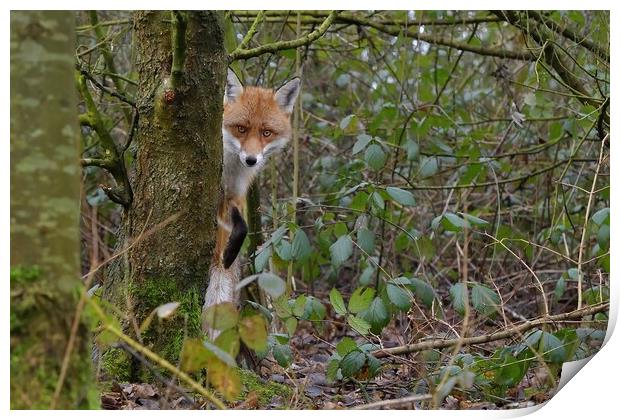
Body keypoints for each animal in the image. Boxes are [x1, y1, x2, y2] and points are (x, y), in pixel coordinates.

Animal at [203, 69, 300, 338]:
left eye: (266, 132)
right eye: (241, 129)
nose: (251, 160)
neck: (231, 168)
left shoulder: (233, 194)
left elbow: (243, 226)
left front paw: (232, 251)